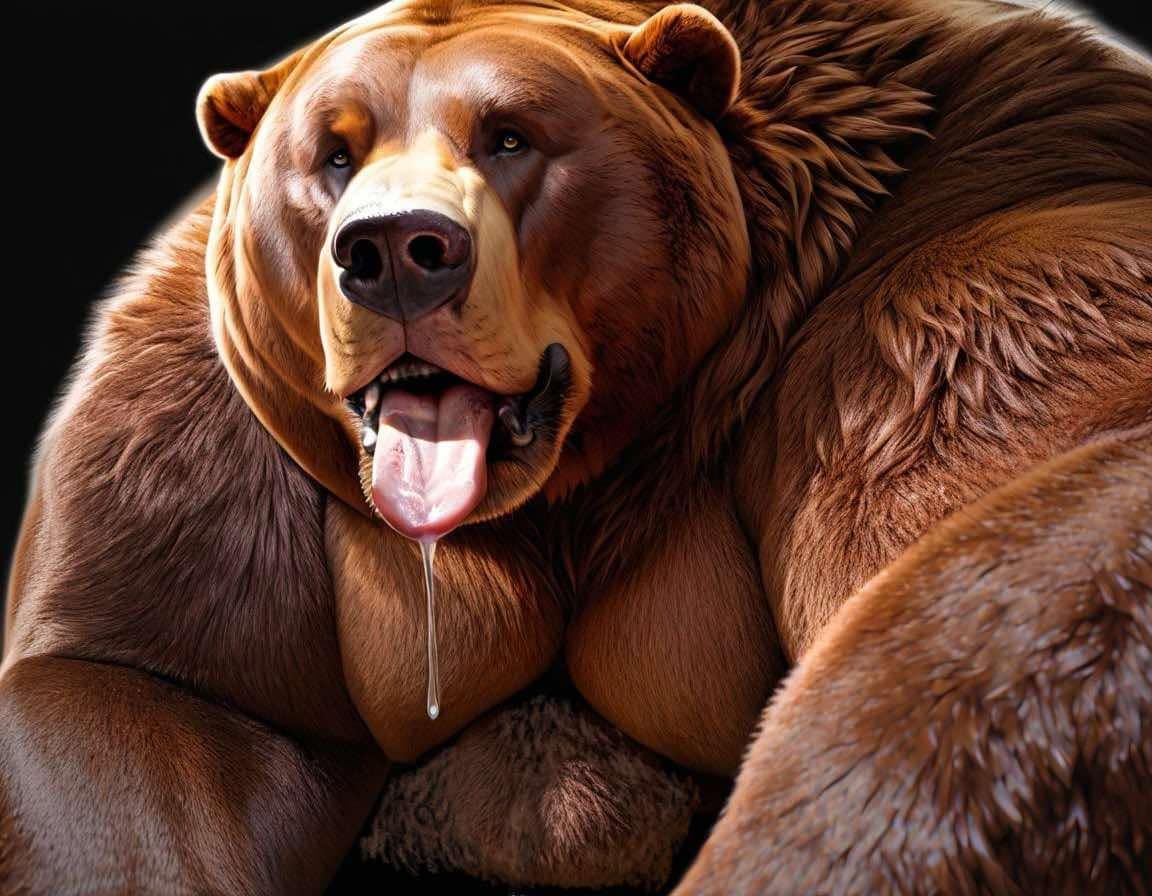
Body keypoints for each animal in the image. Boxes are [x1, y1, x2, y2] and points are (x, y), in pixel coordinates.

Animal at [2, 0, 1150, 893]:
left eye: (510, 134)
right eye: (332, 151)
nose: (395, 251)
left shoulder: (926, 313)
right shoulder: (207, 441)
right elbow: (153, 688)